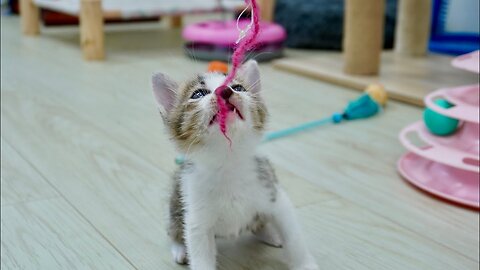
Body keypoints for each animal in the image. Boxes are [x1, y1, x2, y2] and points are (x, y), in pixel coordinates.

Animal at [153, 60, 318, 268]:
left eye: (239, 87)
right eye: (198, 94)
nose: (225, 90)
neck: (228, 162)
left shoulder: (273, 193)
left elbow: (294, 236)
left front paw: (305, 264)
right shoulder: (197, 217)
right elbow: (199, 253)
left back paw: (270, 233)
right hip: (175, 203)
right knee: (174, 228)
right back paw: (180, 249)